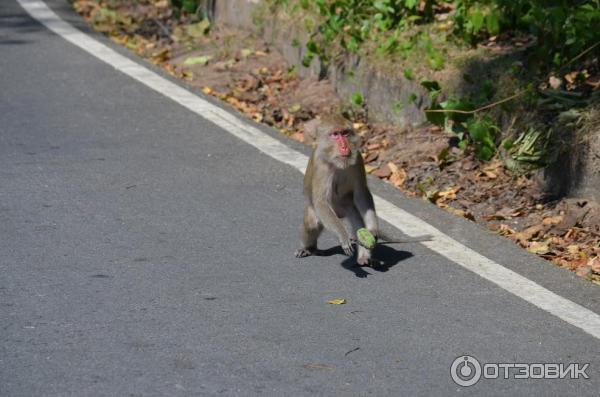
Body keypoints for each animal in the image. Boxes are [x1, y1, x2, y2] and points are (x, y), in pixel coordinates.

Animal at [296, 114, 380, 266]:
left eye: (345, 133)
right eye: (335, 134)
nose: (344, 146)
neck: (337, 162)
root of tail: (339, 214)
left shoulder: (358, 160)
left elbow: (361, 192)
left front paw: (372, 229)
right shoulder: (321, 167)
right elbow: (321, 202)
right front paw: (343, 236)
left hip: (347, 206)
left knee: (357, 221)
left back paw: (363, 258)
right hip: (319, 212)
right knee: (312, 223)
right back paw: (308, 248)